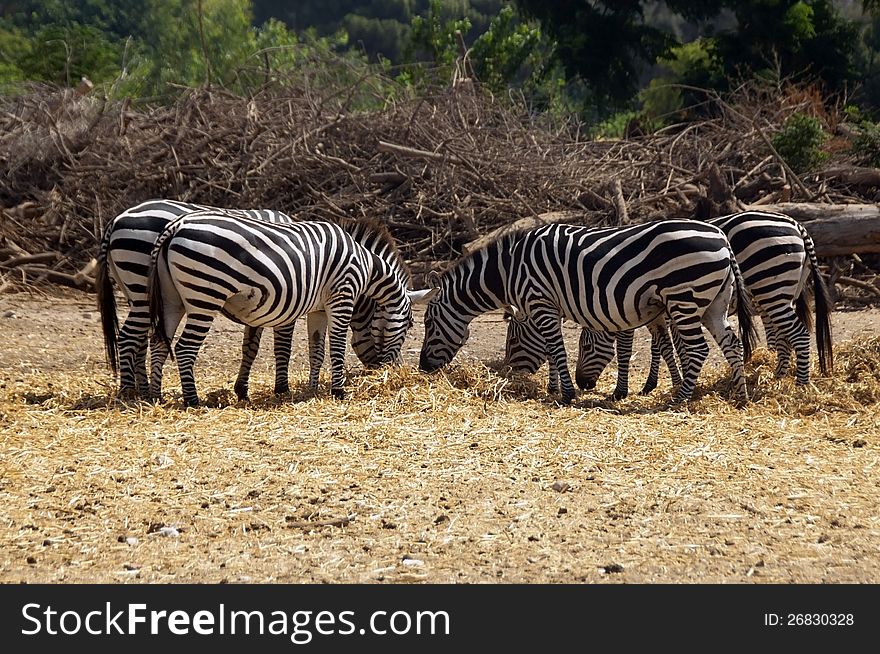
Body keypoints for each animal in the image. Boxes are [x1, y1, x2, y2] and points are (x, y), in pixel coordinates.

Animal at [94, 200, 410, 402]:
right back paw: (151, 395)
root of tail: (117, 220)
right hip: (181, 294)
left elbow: (272, 349)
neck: (363, 263)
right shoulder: (302, 300)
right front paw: (293, 388)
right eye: (408, 328)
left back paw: (151, 394)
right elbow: (295, 348)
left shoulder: (280, 304)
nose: (387, 371)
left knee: (155, 340)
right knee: (146, 341)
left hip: (163, 297)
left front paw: (249, 389)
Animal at [420, 220, 756, 404]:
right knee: (732, 343)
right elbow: (552, 350)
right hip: (714, 304)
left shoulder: (541, 301)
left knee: (699, 349)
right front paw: (556, 387)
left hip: (685, 298)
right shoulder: (551, 306)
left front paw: (566, 393)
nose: (423, 368)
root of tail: (722, 238)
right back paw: (740, 396)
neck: (509, 271)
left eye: (429, 323)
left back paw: (680, 398)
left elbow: (556, 349)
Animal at [506, 210, 836, 398]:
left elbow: (641, 347)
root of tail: (795, 224)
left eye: (514, 341)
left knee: (792, 333)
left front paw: (633, 388)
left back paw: (797, 384)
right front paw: (663, 382)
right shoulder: (657, 309)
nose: (583, 384)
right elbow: (665, 346)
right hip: (778, 291)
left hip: (770, 286)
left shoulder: (639, 307)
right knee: (781, 334)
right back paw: (777, 376)